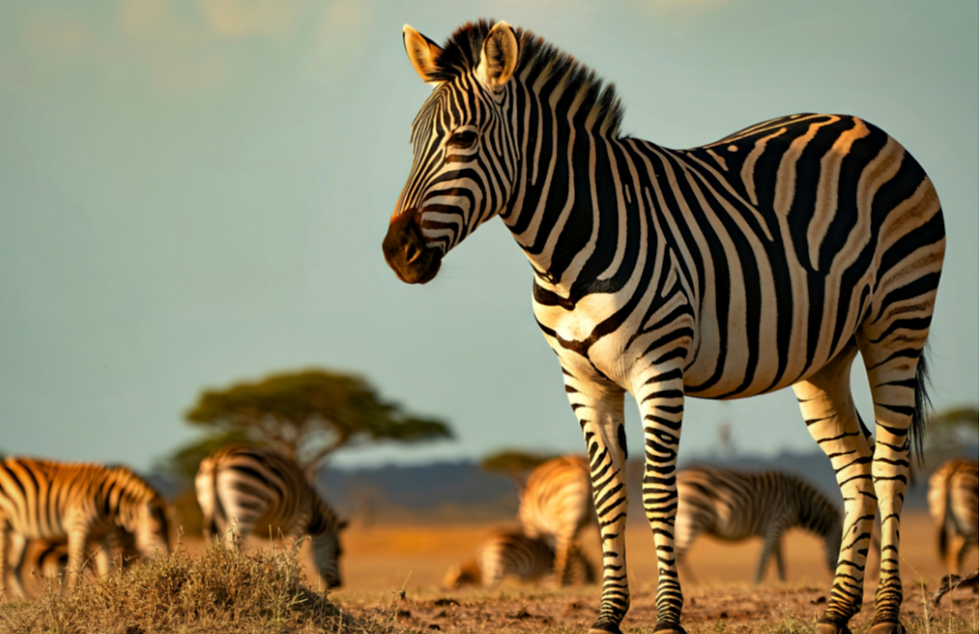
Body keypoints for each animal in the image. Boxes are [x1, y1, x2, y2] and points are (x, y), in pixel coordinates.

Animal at [0, 457, 173, 596]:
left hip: (20, 530)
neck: (107, 500)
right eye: (156, 532)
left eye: (168, 532)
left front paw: (107, 594)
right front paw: (73, 598)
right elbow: (76, 566)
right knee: (4, 564)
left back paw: (22, 601)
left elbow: (106, 568)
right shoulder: (78, 526)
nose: (168, 562)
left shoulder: (101, 534)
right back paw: (6, 602)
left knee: (13, 567)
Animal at [194, 444, 348, 589]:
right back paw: (238, 573)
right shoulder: (301, 519)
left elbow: (278, 551)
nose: (338, 584)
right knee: (234, 544)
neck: (315, 512)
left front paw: (278, 574)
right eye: (338, 552)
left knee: (216, 540)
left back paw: (218, 569)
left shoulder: (277, 530)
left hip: (211, 506)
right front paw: (289, 578)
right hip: (247, 503)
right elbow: (291, 550)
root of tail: (219, 456)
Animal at [443, 528, 596, 589]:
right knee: (488, 586)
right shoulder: (549, 577)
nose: (444, 588)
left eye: (454, 579)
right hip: (499, 566)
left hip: (493, 566)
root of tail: (486, 540)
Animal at [518, 455, 595, 586]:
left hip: (567, 517)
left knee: (563, 552)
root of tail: (580, 467)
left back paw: (557, 584)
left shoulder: (531, 528)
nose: (589, 580)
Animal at [675, 466, 842, 583]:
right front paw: (757, 582)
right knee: (679, 553)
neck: (799, 503)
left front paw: (783, 582)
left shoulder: (775, 528)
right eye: (842, 546)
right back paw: (691, 584)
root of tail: (680, 476)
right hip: (695, 517)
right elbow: (765, 557)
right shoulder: (777, 523)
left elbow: (779, 558)